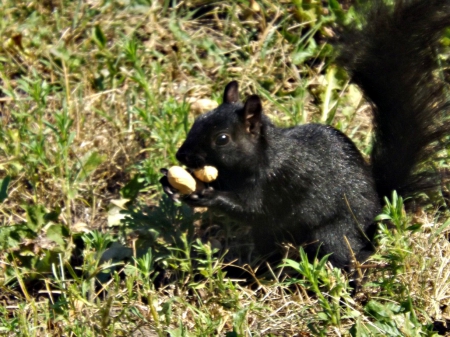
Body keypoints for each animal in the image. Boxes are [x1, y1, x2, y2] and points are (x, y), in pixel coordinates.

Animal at [160, 0, 450, 268]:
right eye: (197, 121)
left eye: (222, 139)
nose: (182, 155)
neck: (262, 156)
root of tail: (380, 209)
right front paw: (169, 182)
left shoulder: (277, 180)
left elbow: (252, 208)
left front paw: (209, 196)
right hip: (271, 234)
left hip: (333, 234)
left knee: (351, 254)